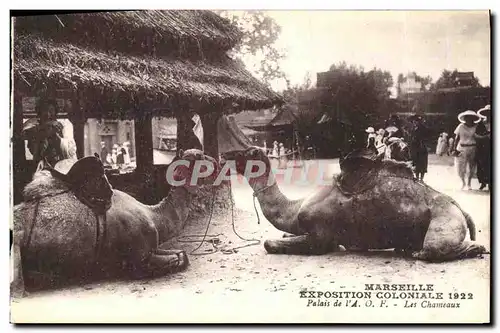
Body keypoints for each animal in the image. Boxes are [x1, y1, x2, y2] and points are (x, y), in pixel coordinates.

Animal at [10, 148, 218, 296]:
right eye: (199, 156)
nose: (216, 162)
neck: (152, 214)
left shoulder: (152, 247)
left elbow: (181, 254)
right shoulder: (139, 260)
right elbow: (178, 259)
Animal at [221, 147, 486, 260]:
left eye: (244, 153)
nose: (223, 154)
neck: (294, 209)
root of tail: (460, 208)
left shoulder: (321, 236)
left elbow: (269, 243)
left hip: (445, 218)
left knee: (431, 250)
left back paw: (476, 249)